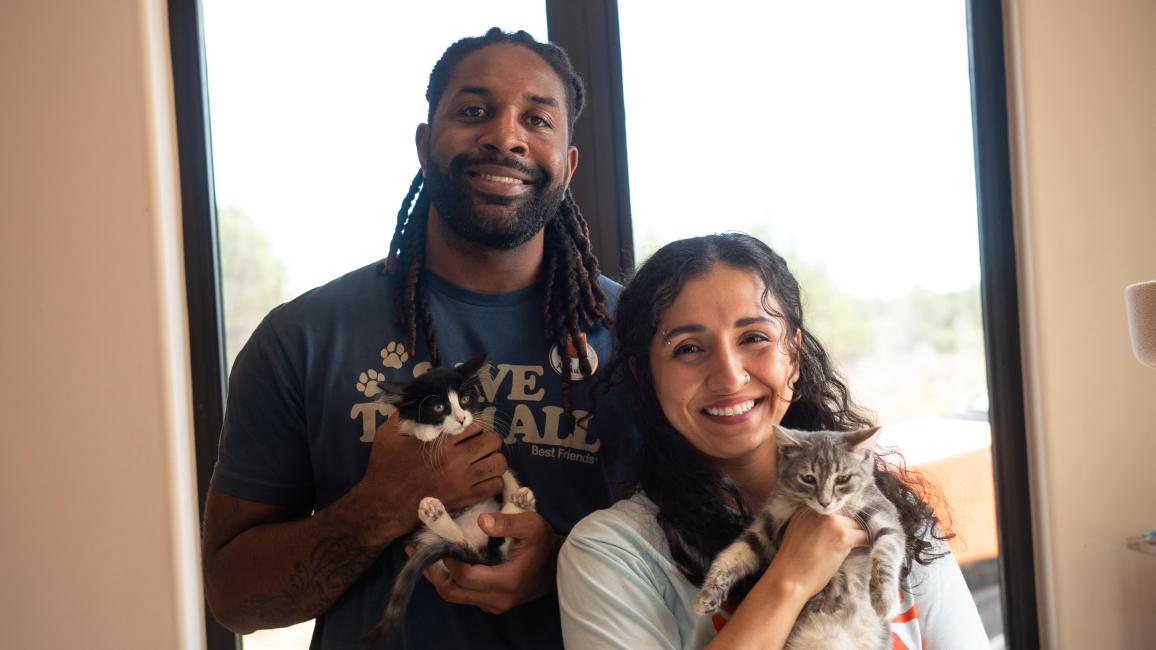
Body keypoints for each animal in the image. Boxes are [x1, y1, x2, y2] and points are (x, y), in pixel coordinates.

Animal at [358, 353, 534, 643]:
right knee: (459, 542)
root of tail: (479, 551)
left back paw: (519, 501)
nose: (462, 418)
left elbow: (503, 471)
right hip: (428, 539)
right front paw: (424, 430)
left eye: (464, 399)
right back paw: (435, 512)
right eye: (439, 406)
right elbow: (409, 426)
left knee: (495, 539)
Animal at [688, 423, 906, 643]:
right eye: (808, 478)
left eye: (843, 478)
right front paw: (706, 595)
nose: (825, 502)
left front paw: (885, 599)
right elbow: (734, 554)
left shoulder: (882, 512)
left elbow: (887, 551)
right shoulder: (767, 525)